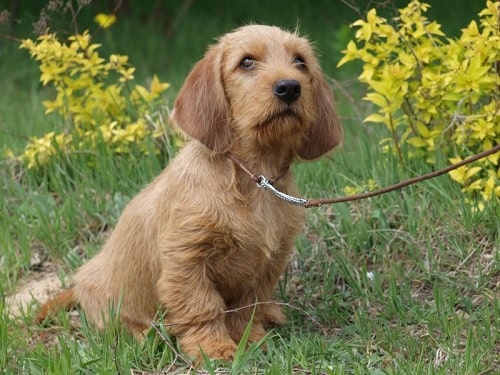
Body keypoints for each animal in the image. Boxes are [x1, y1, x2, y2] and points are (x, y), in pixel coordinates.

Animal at [34, 25, 340, 362]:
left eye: (300, 62)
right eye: (246, 62)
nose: (289, 87)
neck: (256, 178)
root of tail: (78, 283)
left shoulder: (267, 264)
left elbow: (247, 306)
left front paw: (251, 338)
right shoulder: (186, 260)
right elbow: (202, 306)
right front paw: (214, 348)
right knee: (117, 324)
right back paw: (142, 334)